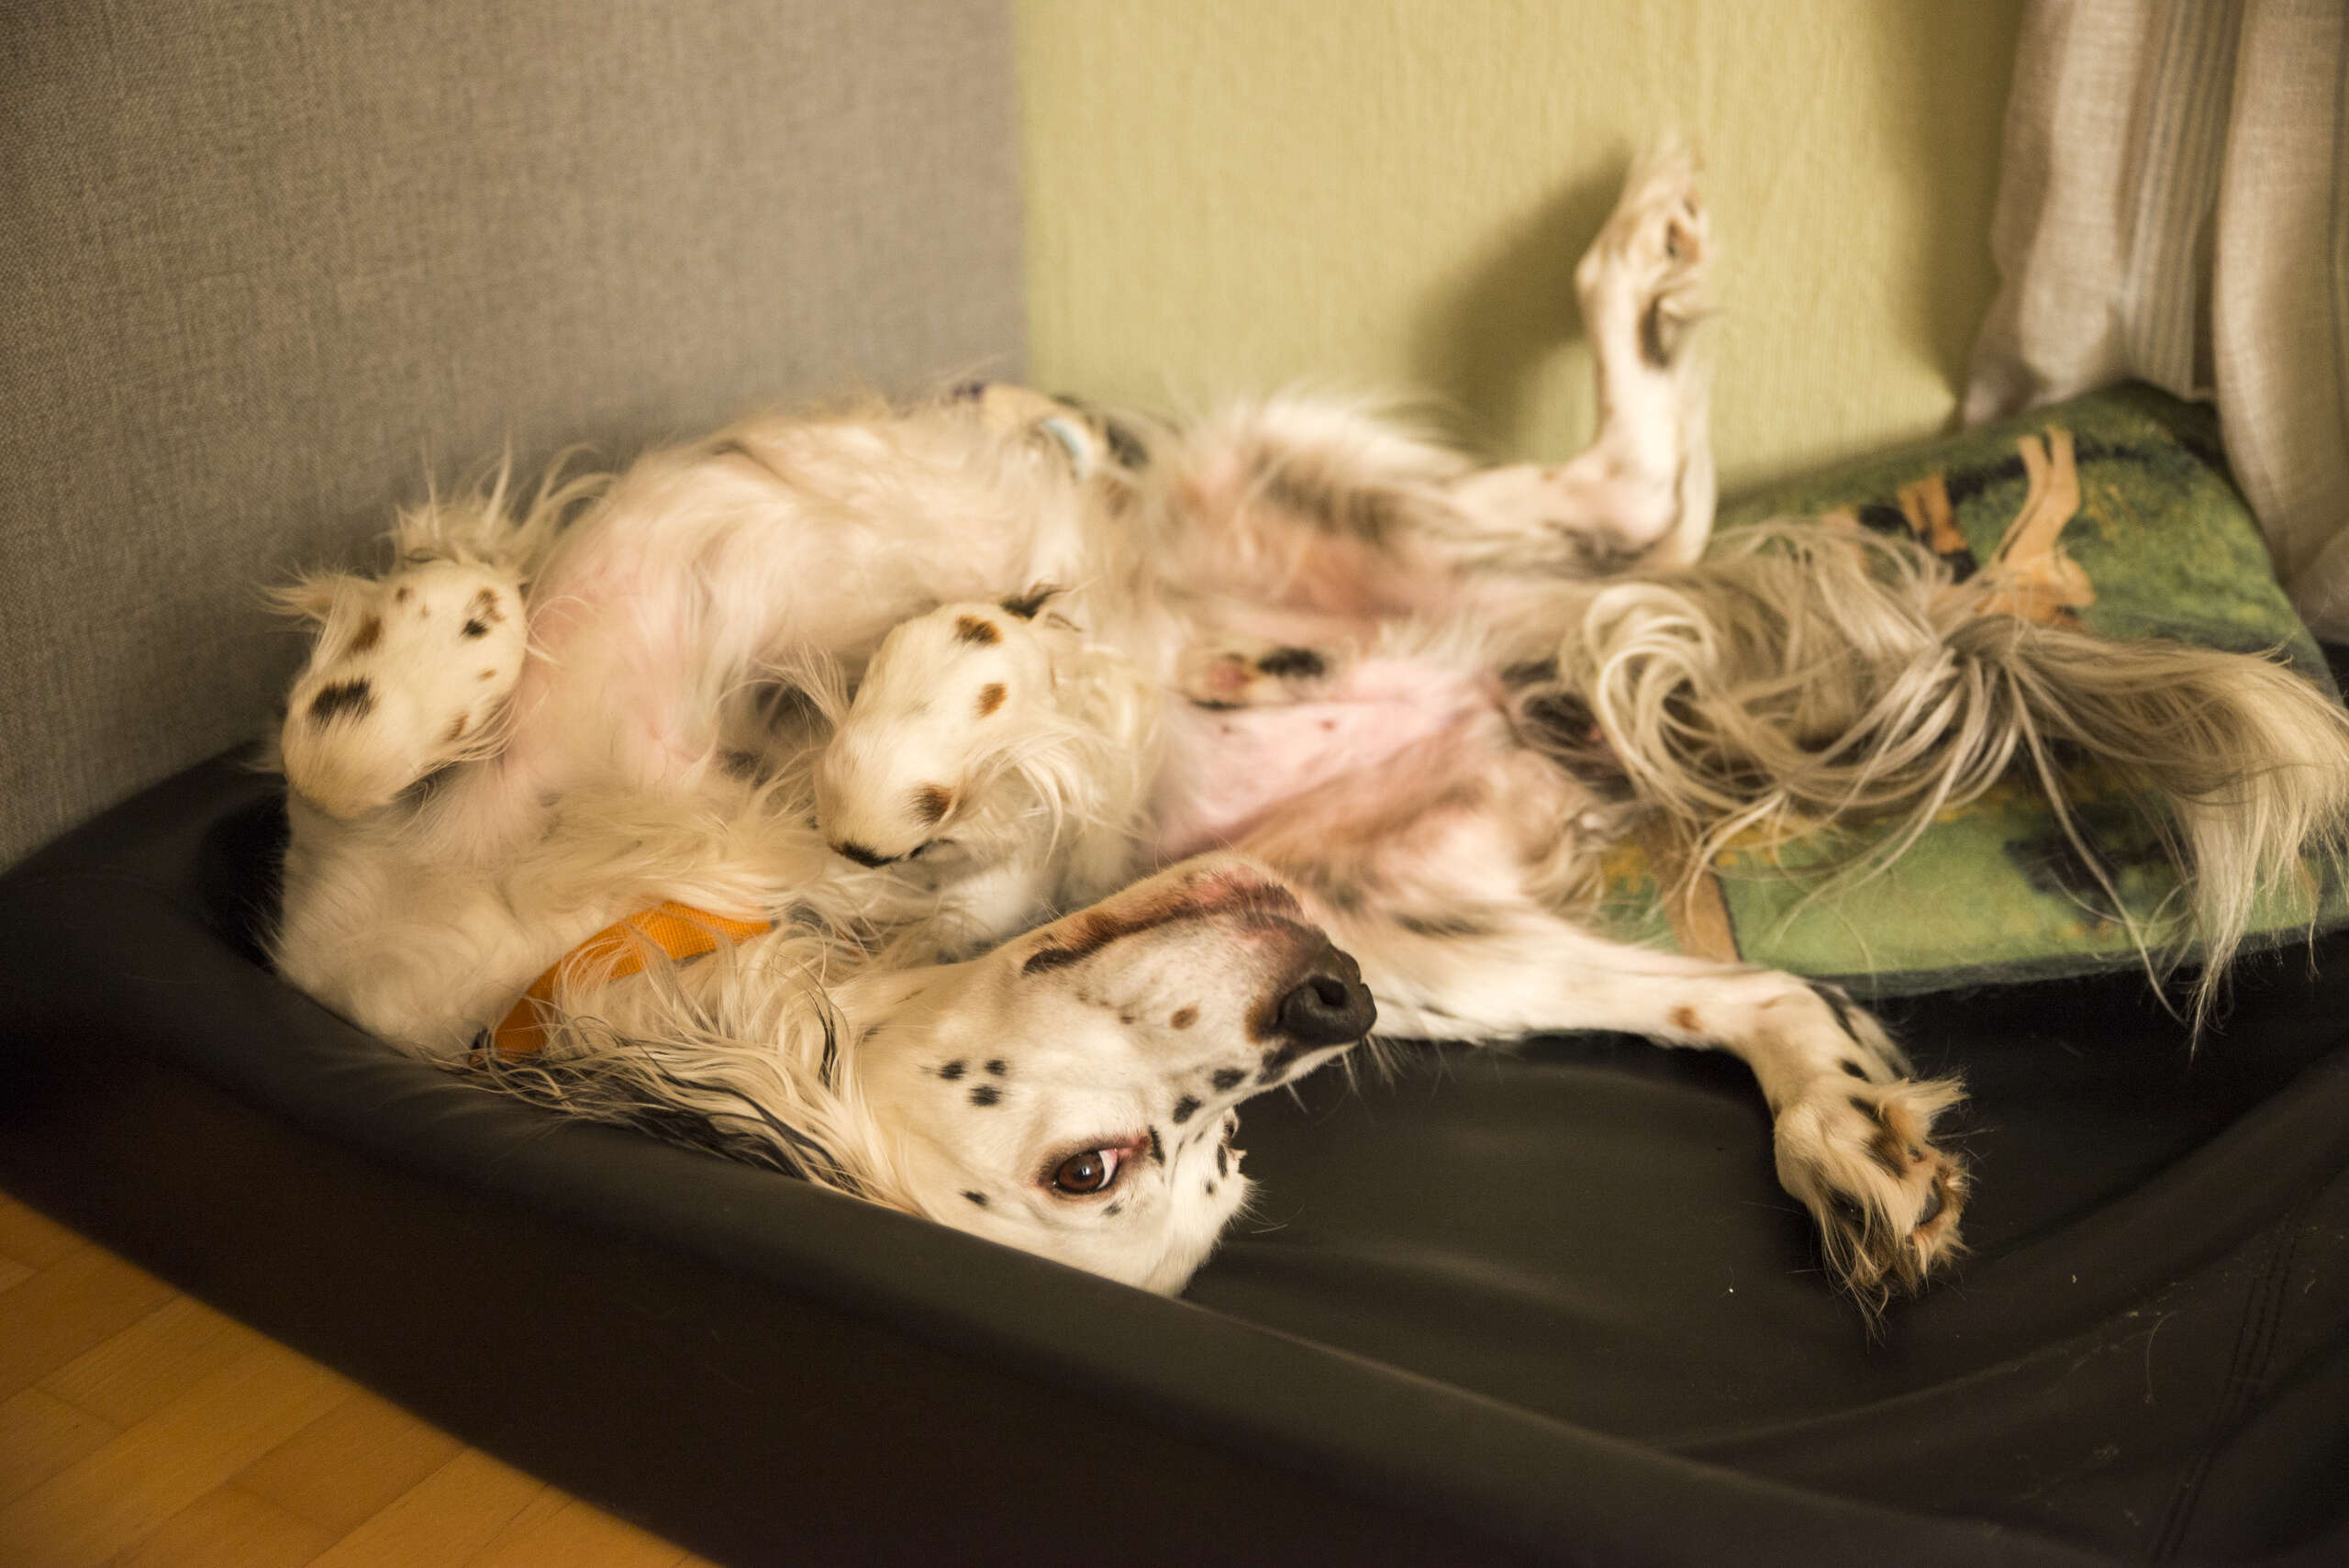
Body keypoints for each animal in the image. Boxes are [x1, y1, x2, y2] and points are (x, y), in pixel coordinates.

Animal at [266, 149, 2349, 1305]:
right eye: (1113, 1169)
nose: (1319, 1008)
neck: (588, 921)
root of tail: (1516, 676)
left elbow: (387, 743)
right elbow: (353, 757)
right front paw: (456, 641)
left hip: (1267, 505)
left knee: (1635, 497)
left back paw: (1627, 269)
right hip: (1436, 934)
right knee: (1746, 968)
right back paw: (1855, 1144)